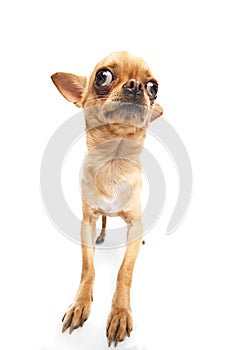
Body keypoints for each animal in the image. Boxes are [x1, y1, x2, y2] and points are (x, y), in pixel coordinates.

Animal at [52, 50, 163, 346]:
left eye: (154, 87)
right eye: (103, 76)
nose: (136, 85)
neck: (114, 160)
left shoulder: (134, 223)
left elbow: (124, 271)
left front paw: (120, 313)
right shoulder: (86, 222)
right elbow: (87, 267)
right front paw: (80, 304)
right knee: (103, 221)